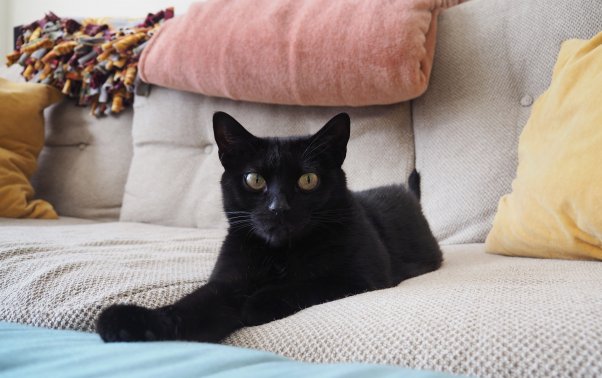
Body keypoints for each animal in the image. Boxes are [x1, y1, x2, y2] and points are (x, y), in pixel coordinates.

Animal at [95, 112, 440, 342]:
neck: (279, 254)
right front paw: (130, 321)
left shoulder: (360, 278)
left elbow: (308, 285)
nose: (278, 207)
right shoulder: (227, 283)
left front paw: (257, 304)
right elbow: (192, 305)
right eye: (254, 179)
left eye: (308, 179)